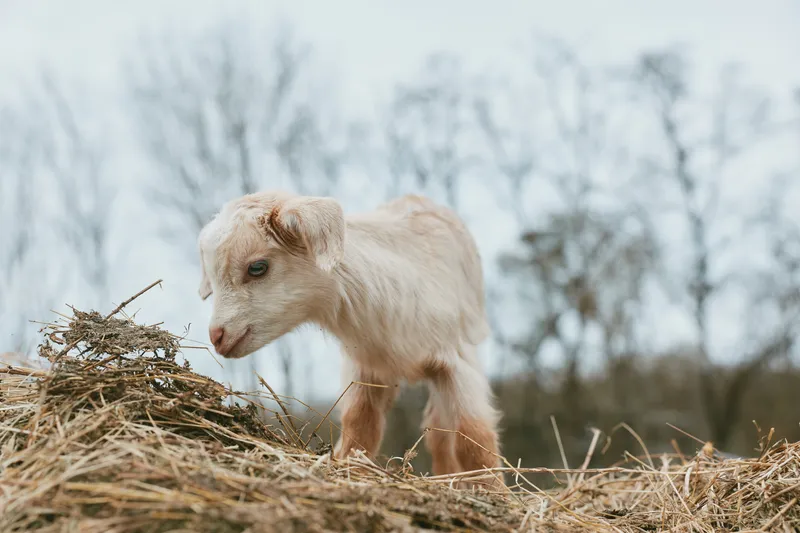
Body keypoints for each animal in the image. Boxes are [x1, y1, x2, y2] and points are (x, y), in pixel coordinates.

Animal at [197, 190, 503, 488]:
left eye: (258, 267)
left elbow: (473, 441)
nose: (217, 336)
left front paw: (494, 491)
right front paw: (350, 466)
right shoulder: (365, 365)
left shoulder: (459, 360)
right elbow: (361, 426)